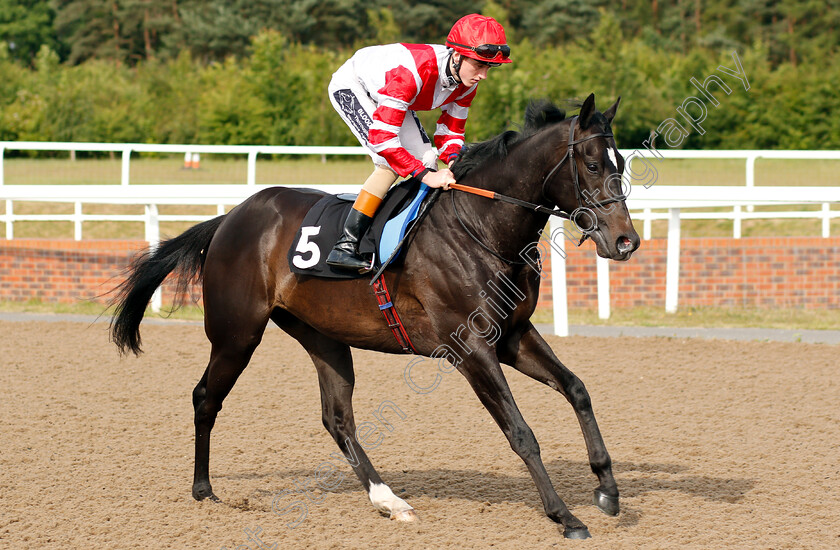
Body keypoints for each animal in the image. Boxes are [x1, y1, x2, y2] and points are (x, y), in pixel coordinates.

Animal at [108, 92, 640, 540]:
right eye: (593, 164)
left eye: (622, 165)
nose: (626, 241)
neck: (482, 226)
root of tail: (229, 218)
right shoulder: (470, 349)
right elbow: (521, 432)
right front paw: (565, 516)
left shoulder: (512, 335)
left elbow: (577, 389)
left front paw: (607, 489)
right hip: (237, 333)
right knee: (205, 397)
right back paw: (204, 490)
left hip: (323, 336)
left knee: (337, 418)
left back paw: (389, 500)